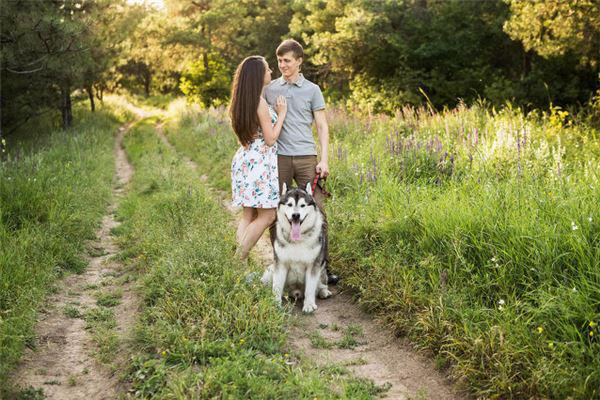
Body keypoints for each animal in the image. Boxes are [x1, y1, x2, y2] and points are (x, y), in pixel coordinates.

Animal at [260, 181, 330, 312]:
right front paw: (275, 304)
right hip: (270, 271)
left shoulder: (313, 265)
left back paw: (324, 291)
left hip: (322, 269)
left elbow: (310, 288)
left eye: (302, 205)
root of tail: (296, 292)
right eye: (290, 204)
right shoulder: (280, 263)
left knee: (320, 284)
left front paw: (309, 305)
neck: (298, 240)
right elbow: (277, 286)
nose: (296, 215)